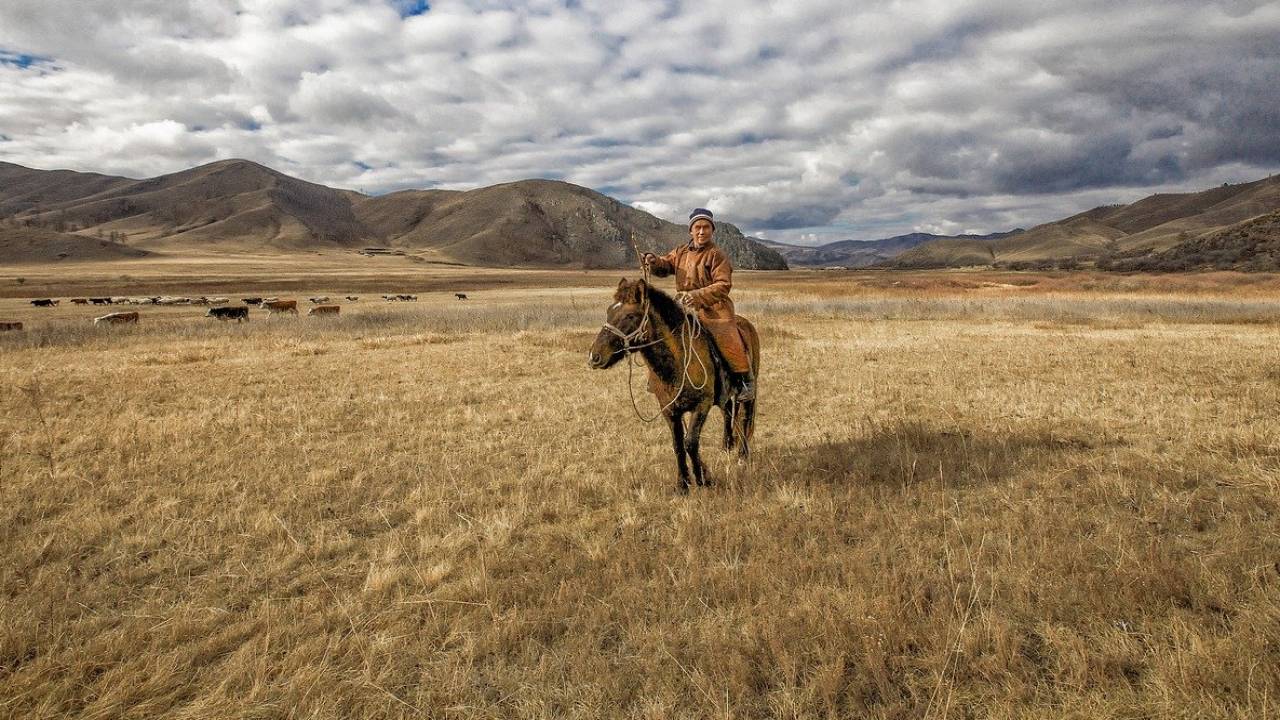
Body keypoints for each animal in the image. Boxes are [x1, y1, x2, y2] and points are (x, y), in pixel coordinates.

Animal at [589, 278, 759, 492]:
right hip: (724, 394)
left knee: (745, 417)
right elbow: (678, 444)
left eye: (630, 315)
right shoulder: (669, 410)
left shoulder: (702, 405)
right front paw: (683, 484)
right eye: (609, 311)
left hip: (749, 390)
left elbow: (690, 442)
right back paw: (726, 446)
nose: (595, 356)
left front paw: (703, 480)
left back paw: (743, 456)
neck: (678, 361)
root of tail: (745, 323)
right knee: (727, 411)